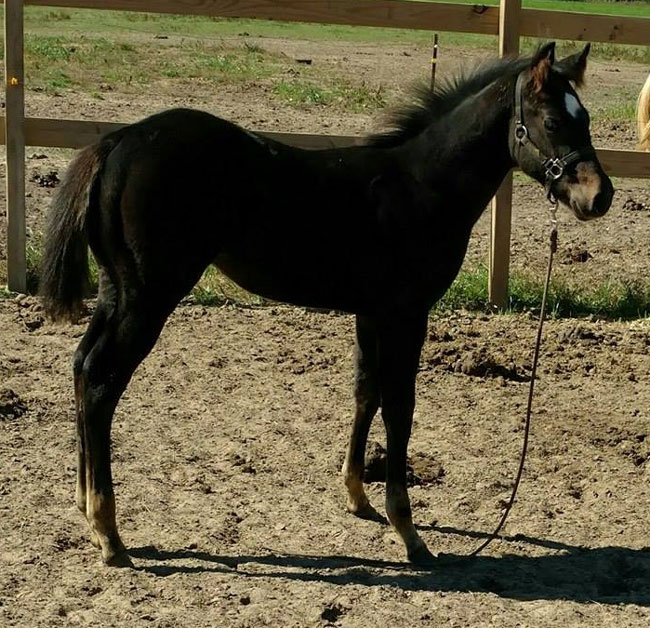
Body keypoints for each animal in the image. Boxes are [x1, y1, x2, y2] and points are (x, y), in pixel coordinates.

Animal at [40, 42, 613, 567]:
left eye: (585, 117)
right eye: (552, 119)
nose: (599, 196)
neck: (420, 185)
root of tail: (117, 140)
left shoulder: (370, 313)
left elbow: (365, 394)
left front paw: (358, 498)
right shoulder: (407, 314)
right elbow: (400, 408)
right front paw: (410, 535)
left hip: (117, 290)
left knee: (80, 364)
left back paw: (84, 506)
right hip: (148, 296)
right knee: (101, 380)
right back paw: (110, 535)